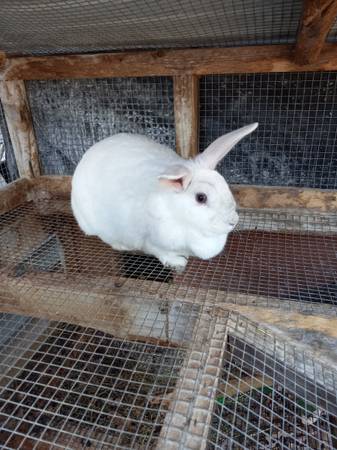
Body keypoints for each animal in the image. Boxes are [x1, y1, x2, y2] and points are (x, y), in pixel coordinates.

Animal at [70, 123, 255, 270]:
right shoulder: (150, 241)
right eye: (201, 198)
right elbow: (160, 252)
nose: (233, 221)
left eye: (226, 186)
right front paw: (178, 261)